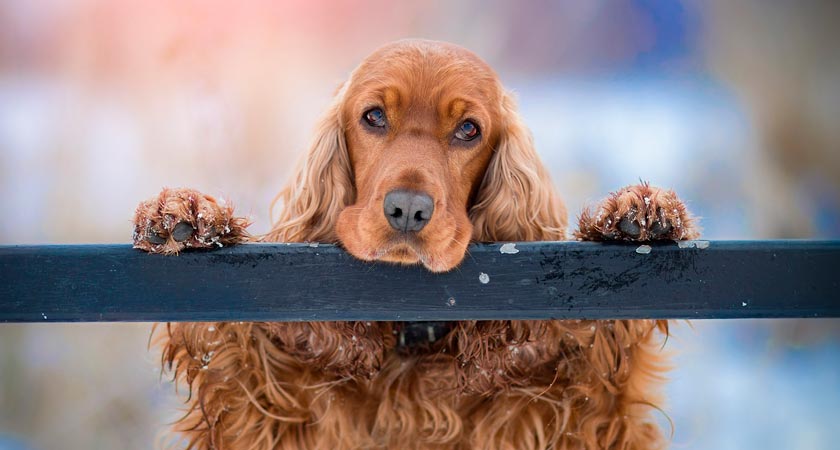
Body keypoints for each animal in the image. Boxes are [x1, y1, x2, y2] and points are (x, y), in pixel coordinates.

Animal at [133, 38, 696, 450]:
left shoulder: (571, 412)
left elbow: (602, 368)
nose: (407, 209)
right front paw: (187, 216)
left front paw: (634, 214)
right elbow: (233, 351)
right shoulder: (267, 410)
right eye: (373, 116)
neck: (412, 338)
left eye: (469, 129)